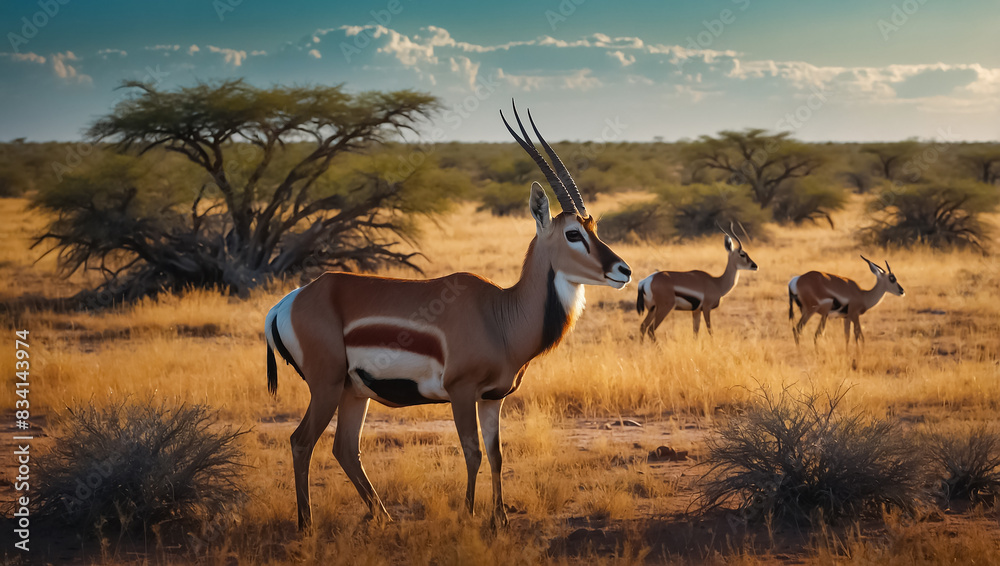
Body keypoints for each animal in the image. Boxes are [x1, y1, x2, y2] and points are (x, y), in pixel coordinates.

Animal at [264, 103, 631, 530]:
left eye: (594, 227)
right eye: (573, 233)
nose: (623, 270)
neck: (499, 315)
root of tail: (291, 300)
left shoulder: (493, 398)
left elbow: (496, 454)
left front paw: (500, 520)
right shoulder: (461, 392)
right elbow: (472, 451)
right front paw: (470, 516)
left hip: (352, 392)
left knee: (345, 448)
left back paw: (383, 518)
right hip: (326, 387)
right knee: (301, 441)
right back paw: (306, 525)